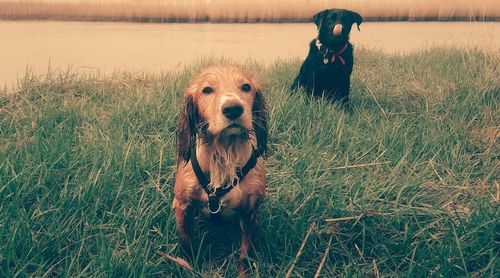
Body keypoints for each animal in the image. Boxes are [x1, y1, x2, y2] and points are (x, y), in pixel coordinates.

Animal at [173, 65, 268, 276]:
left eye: (246, 87)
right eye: (207, 90)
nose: (233, 108)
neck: (224, 153)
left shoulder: (251, 213)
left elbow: (244, 255)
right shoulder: (182, 206)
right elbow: (187, 243)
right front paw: (190, 266)